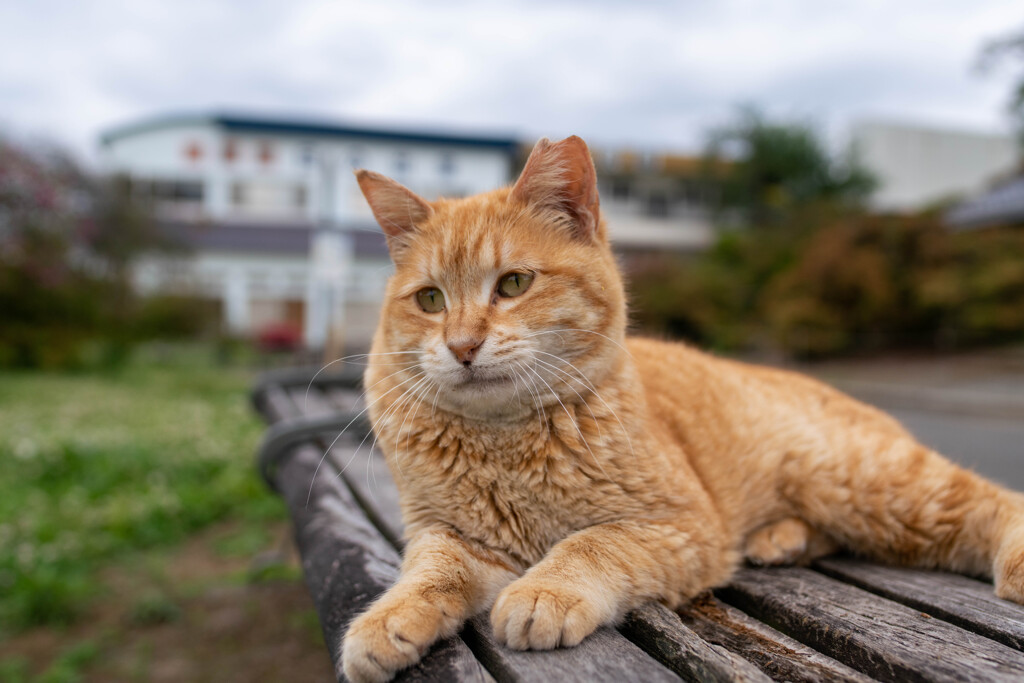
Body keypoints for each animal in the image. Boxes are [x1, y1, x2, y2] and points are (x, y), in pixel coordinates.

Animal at [337, 136, 1024, 679]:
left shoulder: (682, 525)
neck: (503, 441)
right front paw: (388, 620)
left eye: (513, 284)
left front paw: (544, 592)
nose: (461, 346)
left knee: (993, 500)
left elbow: (590, 544)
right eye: (429, 299)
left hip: (868, 484)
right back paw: (780, 539)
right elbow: (430, 572)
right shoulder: (452, 534)